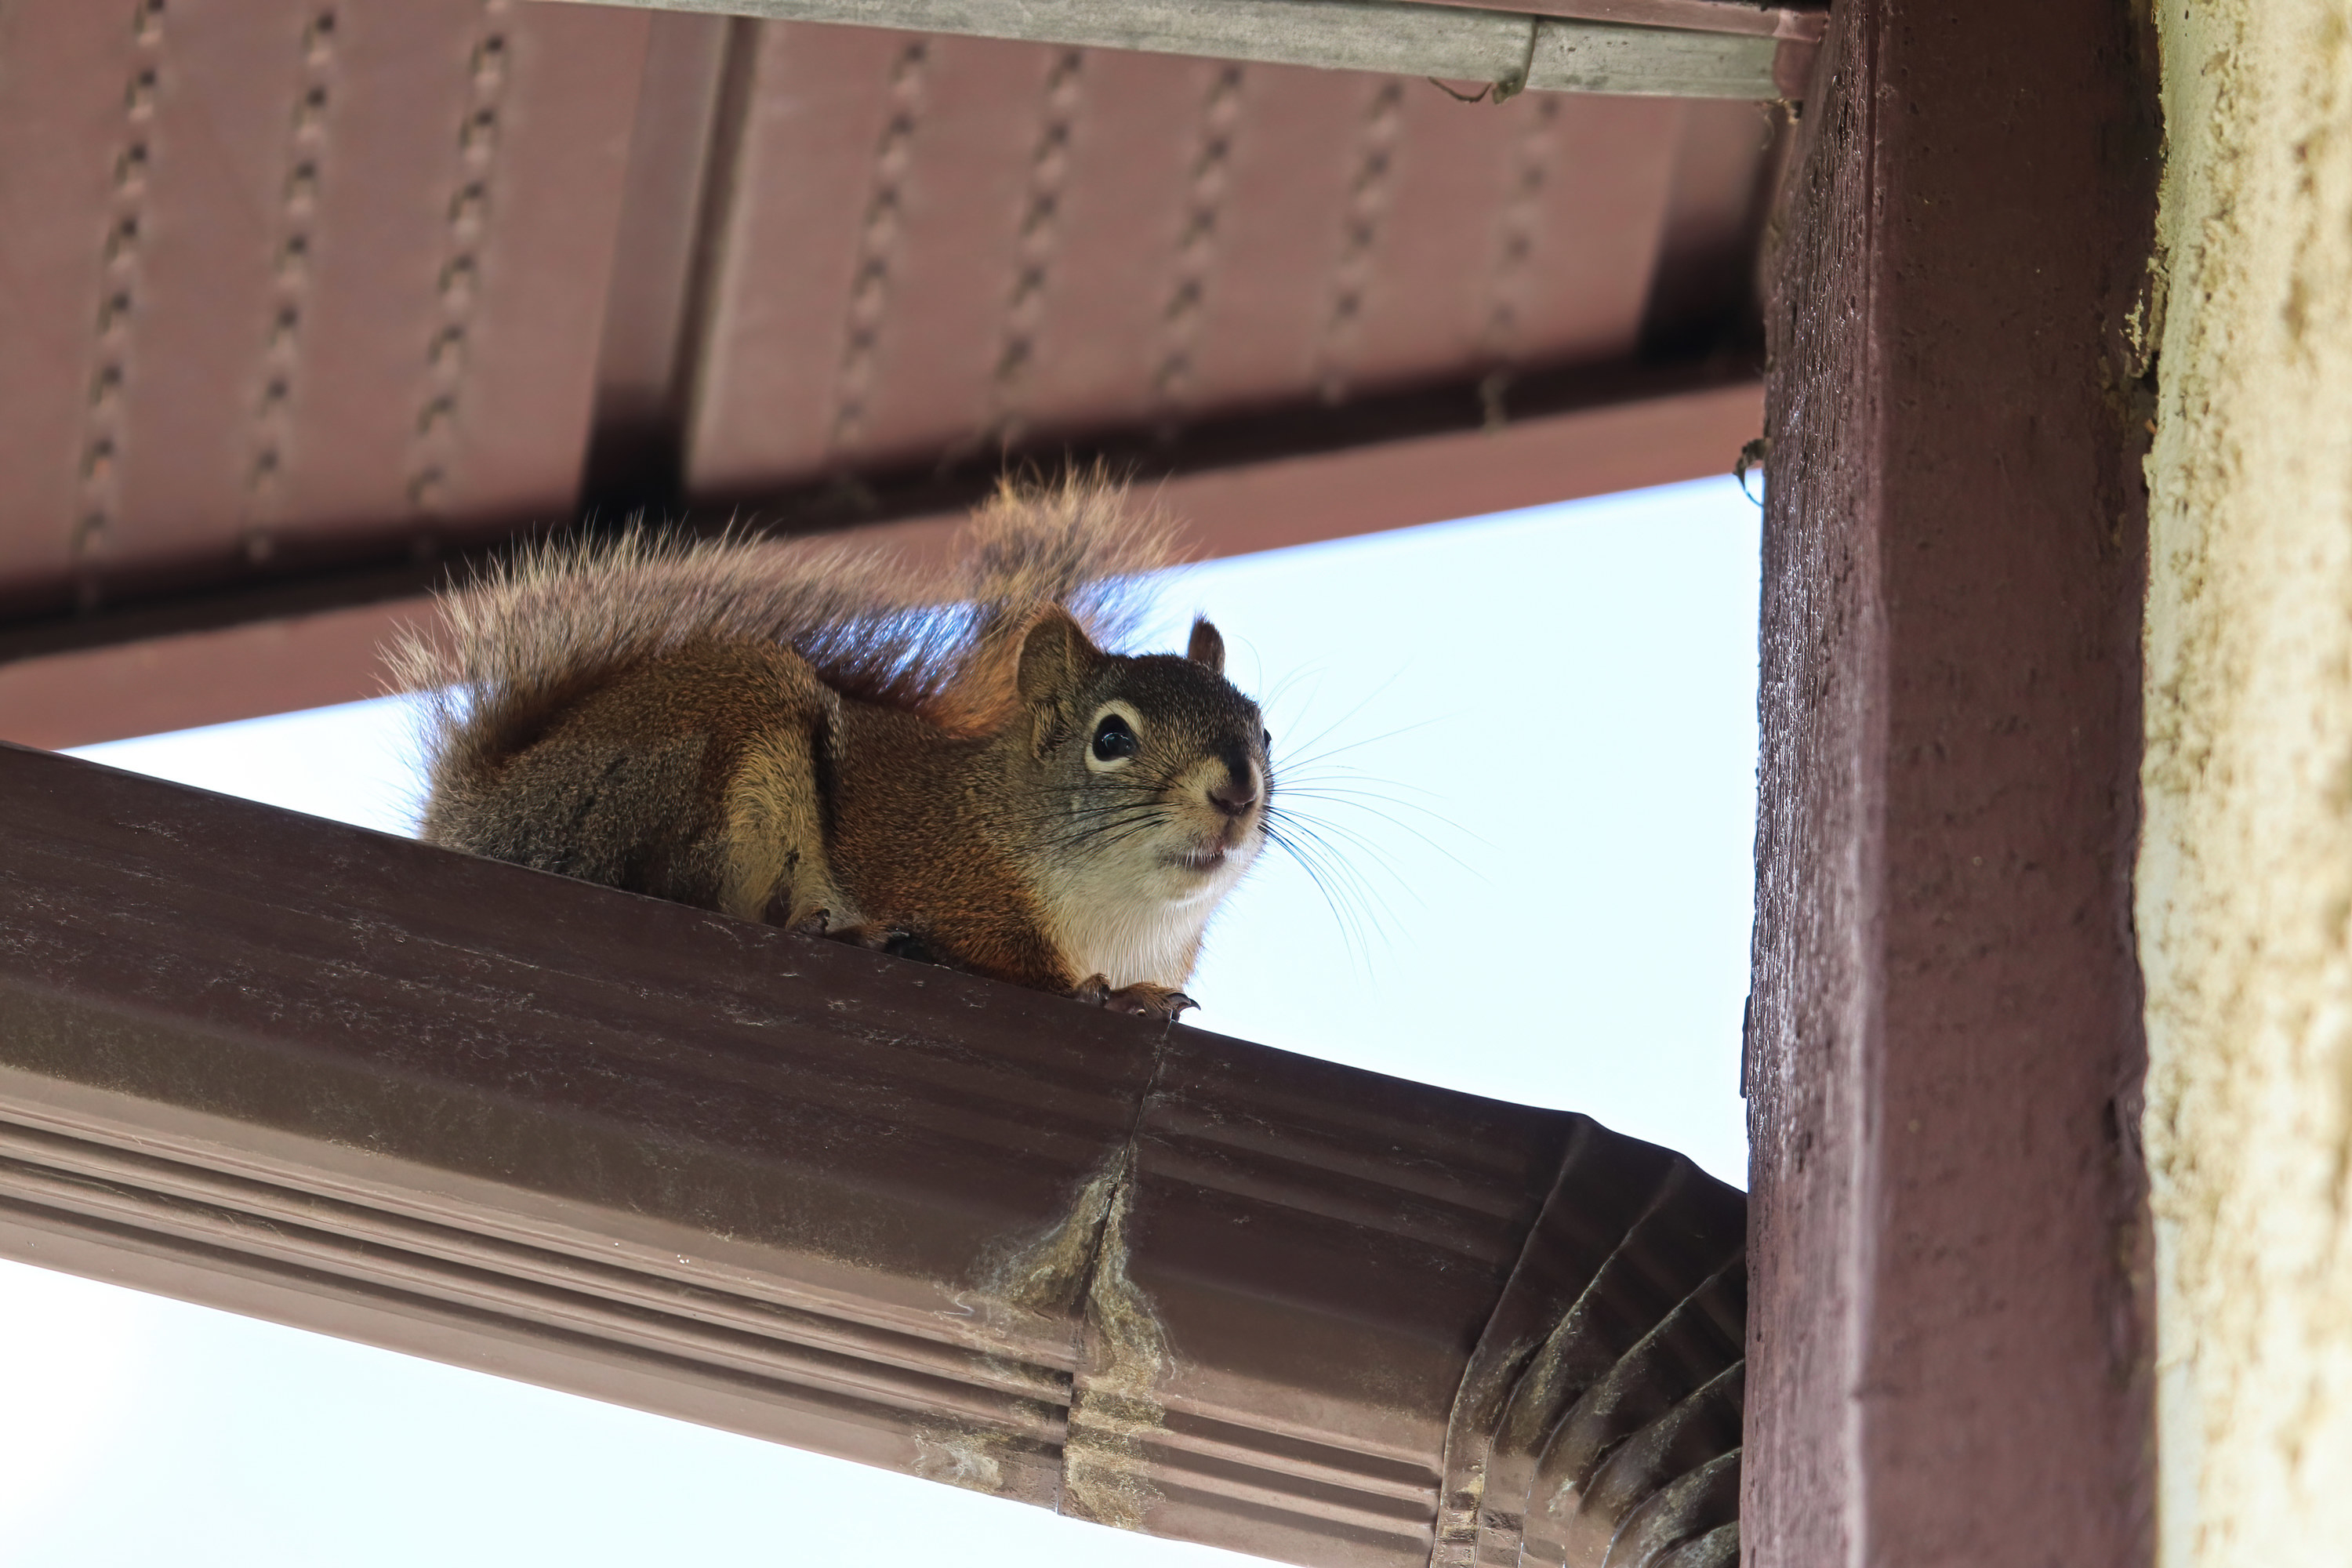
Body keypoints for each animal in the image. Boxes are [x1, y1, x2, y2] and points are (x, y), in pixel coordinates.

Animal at [390, 474, 1270, 1020]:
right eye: (1110, 737)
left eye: (1262, 730)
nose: (1236, 790)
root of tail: (484, 812)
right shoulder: (953, 882)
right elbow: (1012, 962)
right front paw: (1110, 996)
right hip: (693, 765)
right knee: (685, 889)